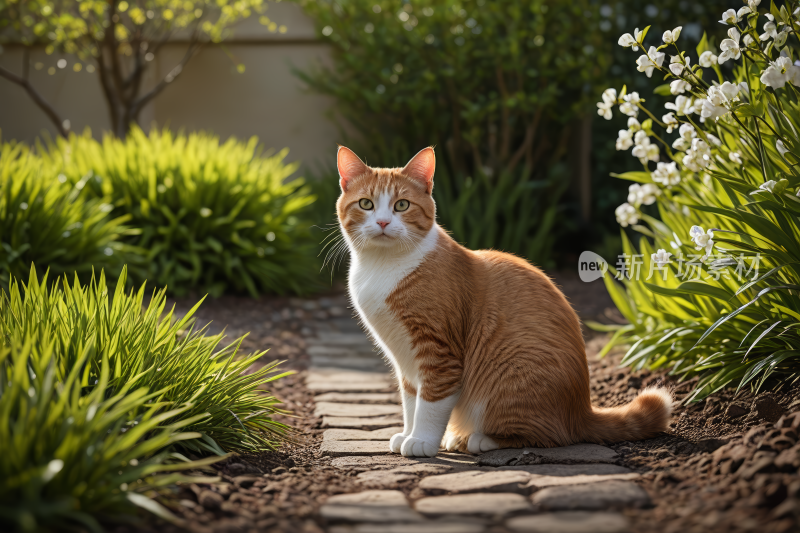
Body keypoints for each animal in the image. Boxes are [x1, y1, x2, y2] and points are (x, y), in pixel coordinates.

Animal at [334, 145, 672, 458]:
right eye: (366, 204)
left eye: (401, 205)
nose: (382, 223)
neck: (382, 267)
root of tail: (582, 410)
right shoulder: (404, 359)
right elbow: (409, 402)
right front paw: (407, 433)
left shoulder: (439, 353)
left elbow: (429, 404)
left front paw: (422, 441)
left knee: (550, 435)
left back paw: (478, 439)